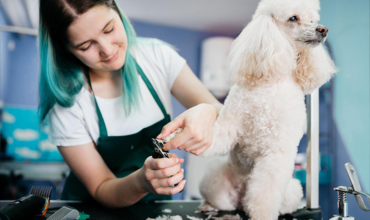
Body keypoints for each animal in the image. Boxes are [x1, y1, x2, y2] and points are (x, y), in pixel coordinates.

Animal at [198, 0, 336, 219]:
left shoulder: (277, 151)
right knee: (220, 199)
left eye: (313, 19)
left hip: (292, 191)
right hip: (215, 180)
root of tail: (240, 199)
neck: (271, 84)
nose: (323, 29)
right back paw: (208, 205)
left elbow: (264, 195)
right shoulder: (230, 124)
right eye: (293, 18)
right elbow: (217, 136)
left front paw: (261, 214)